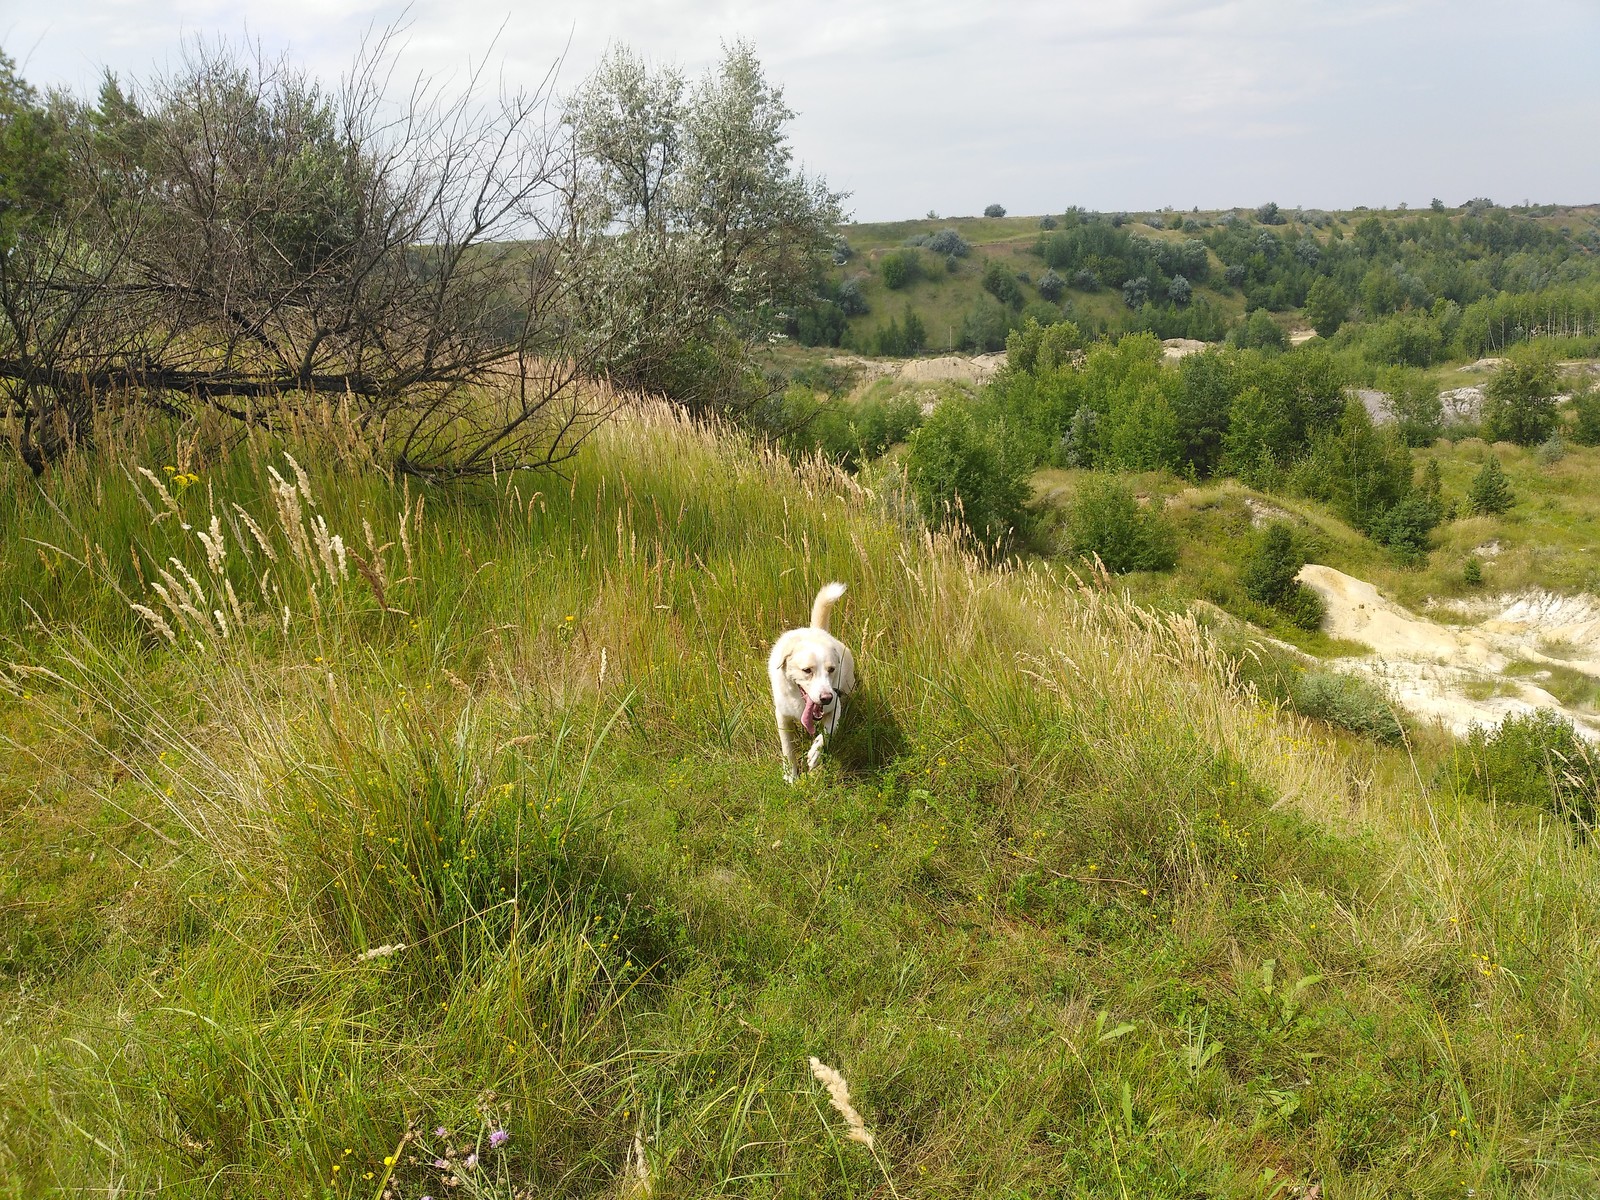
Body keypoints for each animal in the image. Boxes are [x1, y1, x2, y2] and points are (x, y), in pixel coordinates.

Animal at [768, 588, 857, 784]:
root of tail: (816, 630)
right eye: (807, 670)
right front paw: (790, 776)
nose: (826, 698)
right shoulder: (782, 716)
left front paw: (815, 754)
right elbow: (788, 748)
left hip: (847, 688)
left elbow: (827, 732)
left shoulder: (835, 708)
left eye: (831, 669)